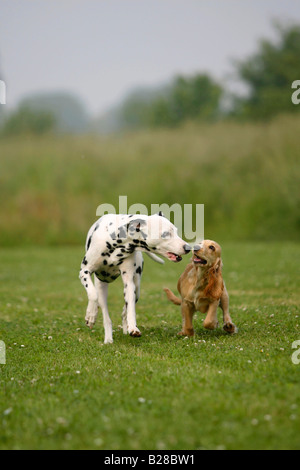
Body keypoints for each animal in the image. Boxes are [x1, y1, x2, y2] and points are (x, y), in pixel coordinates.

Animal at [79, 212, 191, 342]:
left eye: (176, 231)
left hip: (136, 290)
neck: (118, 242)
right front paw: (91, 315)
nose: (188, 247)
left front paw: (133, 328)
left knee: (125, 311)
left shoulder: (129, 283)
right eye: (165, 234)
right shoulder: (84, 272)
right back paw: (108, 339)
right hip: (102, 287)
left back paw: (125, 328)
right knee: (105, 315)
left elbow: (131, 309)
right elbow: (93, 294)